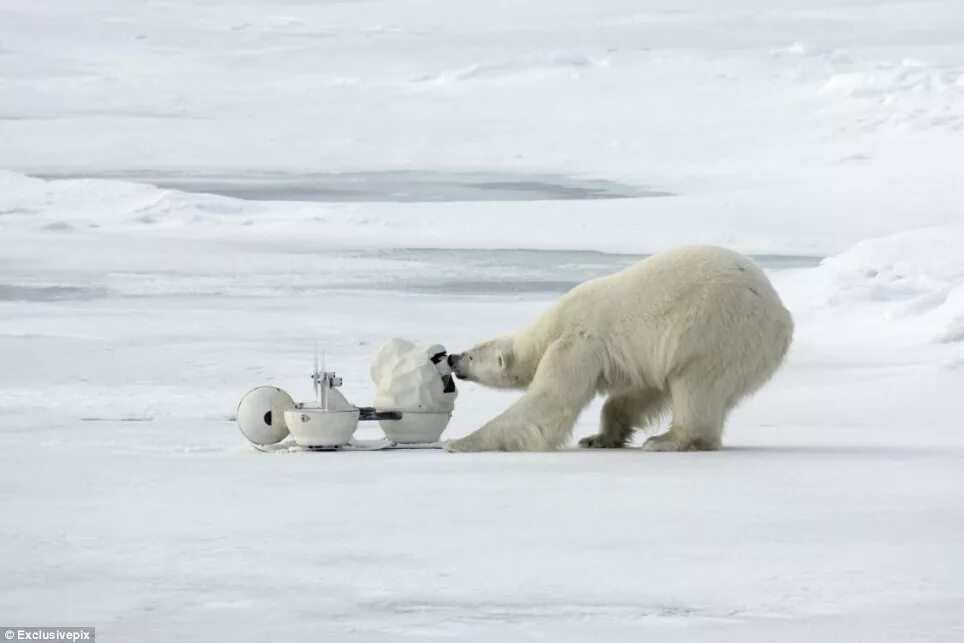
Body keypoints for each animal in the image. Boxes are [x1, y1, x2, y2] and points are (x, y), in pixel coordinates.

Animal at [444, 247, 792, 452]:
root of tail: (782, 317)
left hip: (715, 333)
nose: (452, 358)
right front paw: (599, 437)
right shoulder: (642, 356)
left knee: (696, 385)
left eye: (472, 354)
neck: (550, 328)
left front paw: (459, 441)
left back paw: (668, 440)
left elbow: (550, 400)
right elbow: (641, 392)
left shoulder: (578, 342)